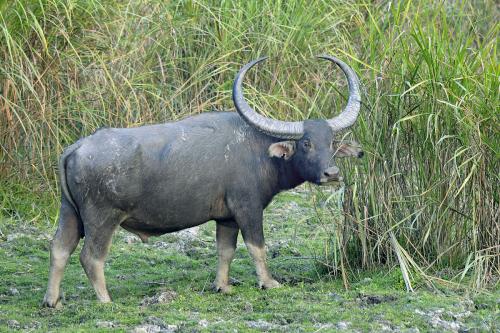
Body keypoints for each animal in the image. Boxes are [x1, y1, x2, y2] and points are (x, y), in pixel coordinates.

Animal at [43, 55, 364, 306]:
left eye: (331, 142)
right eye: (306, 143)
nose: (331, 174)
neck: (258, 151)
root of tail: (76, 147)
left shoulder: (226, 218)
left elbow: (225, 251)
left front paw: (223, 286)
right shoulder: (248, 209)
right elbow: (257, 247)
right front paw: (269, 282)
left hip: (69, 212)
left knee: (59, 249)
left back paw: (52, 300)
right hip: (102, 217)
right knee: (91, 257)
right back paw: (105, 299)